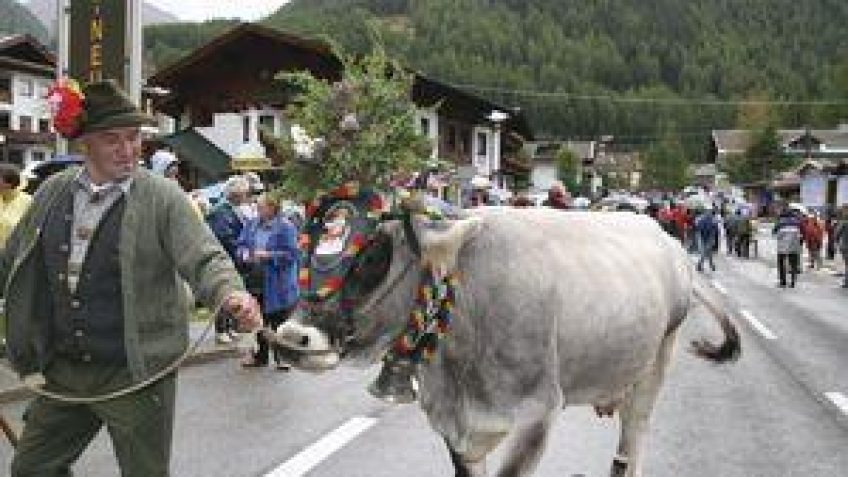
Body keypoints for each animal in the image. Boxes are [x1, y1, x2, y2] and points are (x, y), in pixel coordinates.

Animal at [274, 206, 740, 474]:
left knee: (633, 443)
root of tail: (669, 242)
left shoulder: (538, 413)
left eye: (371, 258)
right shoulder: (456, 427)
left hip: (655, 363)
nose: (291, 337)